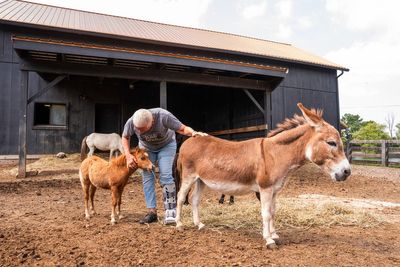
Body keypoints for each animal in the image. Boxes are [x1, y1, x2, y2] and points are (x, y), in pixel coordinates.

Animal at [177, 103, 352, 250]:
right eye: (331, 143)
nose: (347, 172)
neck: (275, 154)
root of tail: (191, 139)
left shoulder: (274, 190)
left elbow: (273, 211)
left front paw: (274, 235)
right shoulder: (265, 188)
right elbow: (266, 213)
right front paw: (269, 240)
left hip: (201, 180)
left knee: (194, 199)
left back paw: (199, 224)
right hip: (189, 176)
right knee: (180, 197)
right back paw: (179, 224)